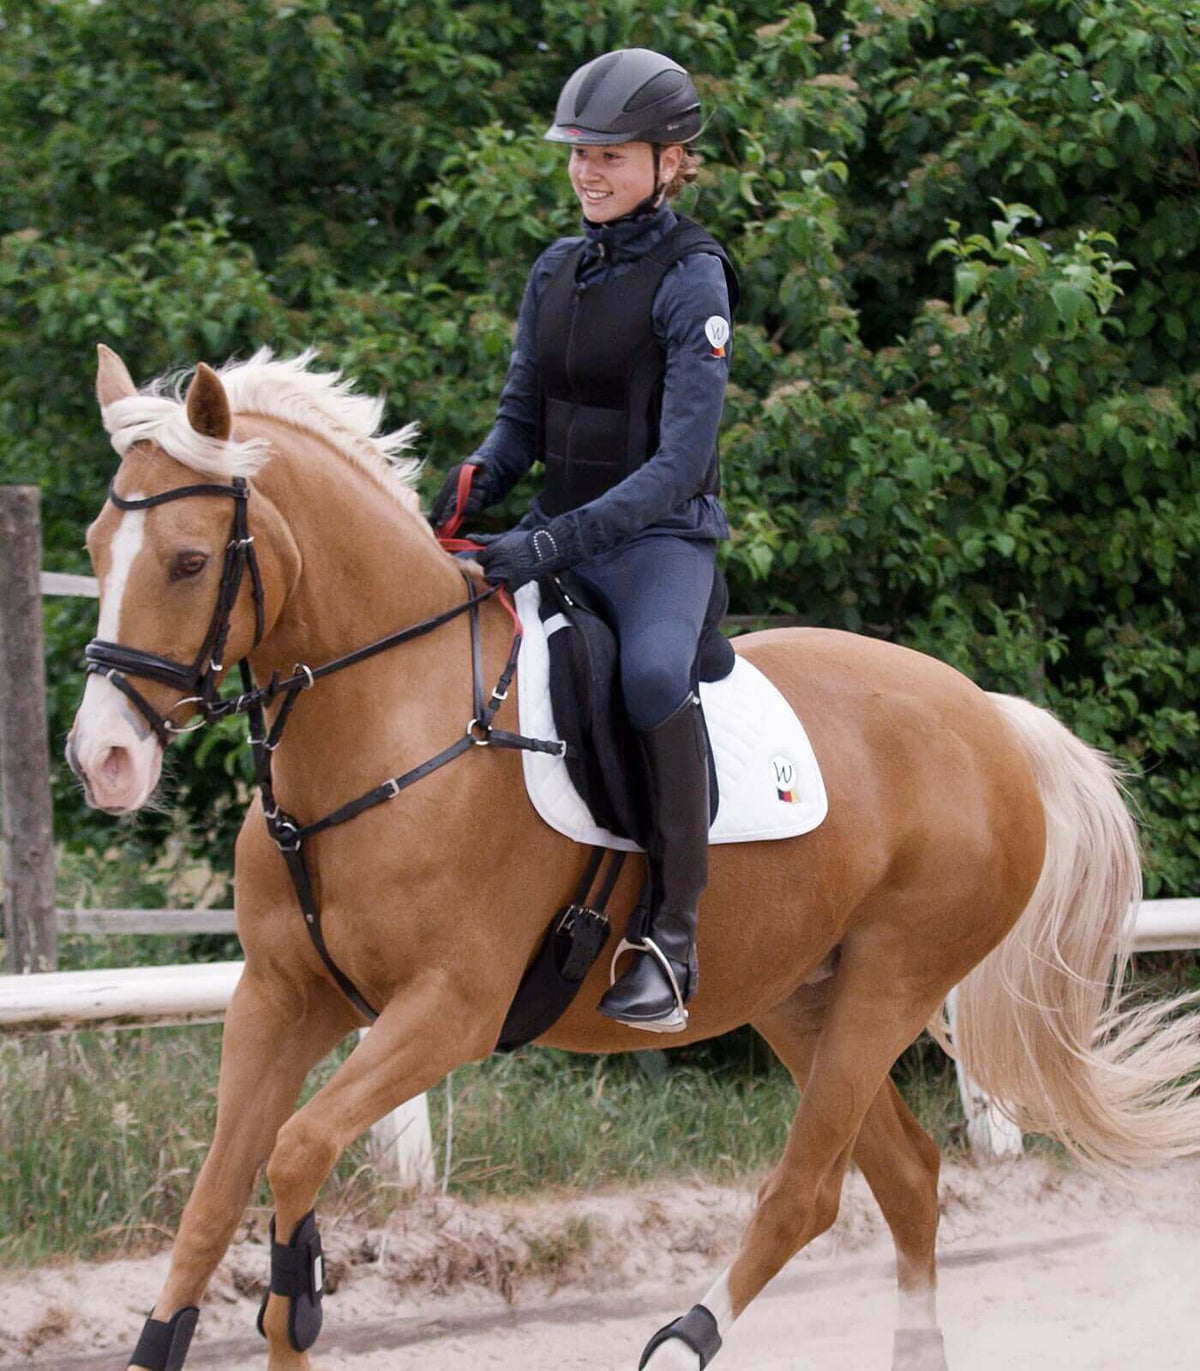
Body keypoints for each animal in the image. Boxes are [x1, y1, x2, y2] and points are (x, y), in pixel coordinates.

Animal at [66, 344, 1200, 1371]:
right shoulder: (278, 997)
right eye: (95, 544)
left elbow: (296, 1152)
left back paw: (684, 1339)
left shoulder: (446, 1010)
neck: (387, 724)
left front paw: (297, 1303)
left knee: (807, 1191)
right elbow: (217, 1192)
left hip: (892, 982)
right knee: (907, 1178)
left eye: (188, 561)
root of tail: (991, 719)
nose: (102, 759)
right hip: (803, 998)